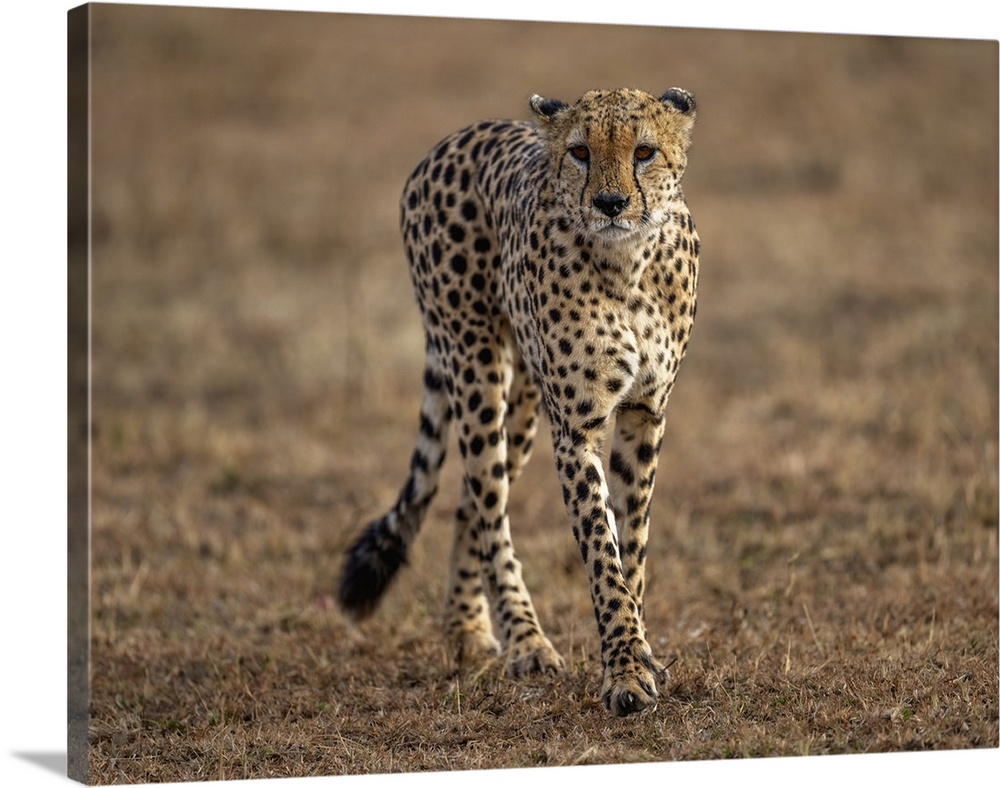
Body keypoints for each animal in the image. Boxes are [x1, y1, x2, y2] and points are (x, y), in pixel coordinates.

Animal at [338, 87, 699, 717]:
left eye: (644, 151)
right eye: (579, 151)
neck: (628, 263)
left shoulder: (645, 414)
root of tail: (452, 139)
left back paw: (467, 628)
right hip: (475, 365)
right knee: (487, 501)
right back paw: (523, 639)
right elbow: (601, 550)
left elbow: (632, 546)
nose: (610, 203)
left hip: (526, 401)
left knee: (474, 499)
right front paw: (625, 673)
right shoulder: (576, 427)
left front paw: (640, 652)